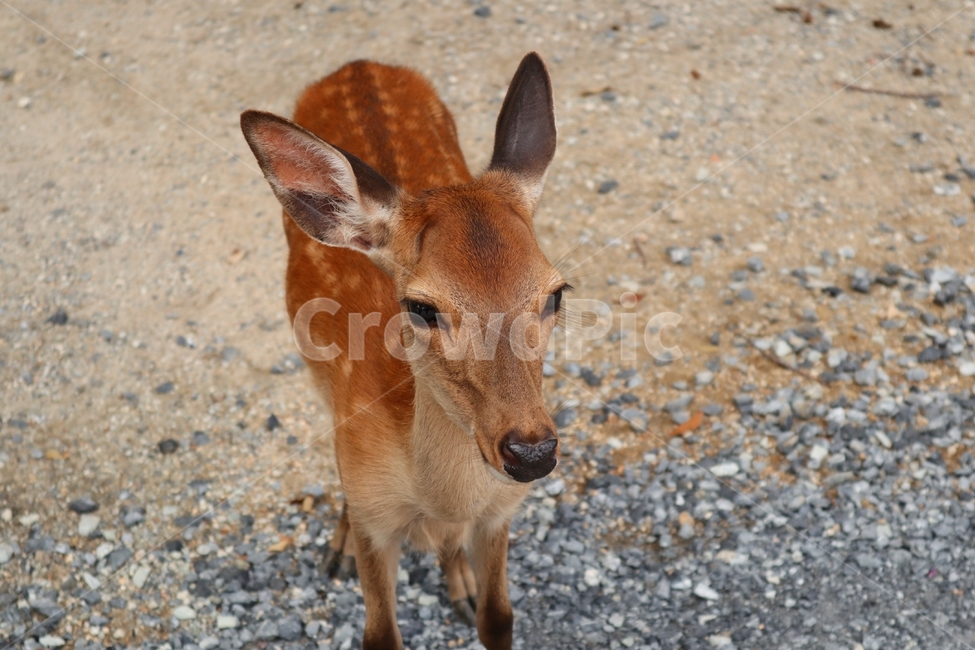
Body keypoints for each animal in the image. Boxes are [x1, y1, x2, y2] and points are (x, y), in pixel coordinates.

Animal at [240, 52, 565, 650]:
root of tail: (357, 64)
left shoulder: (500, 514)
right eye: (420, 307)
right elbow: (379, 635)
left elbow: (499, 618)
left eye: (556, 292)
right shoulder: (377, 516)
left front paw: (466, 585)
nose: (531, 452)